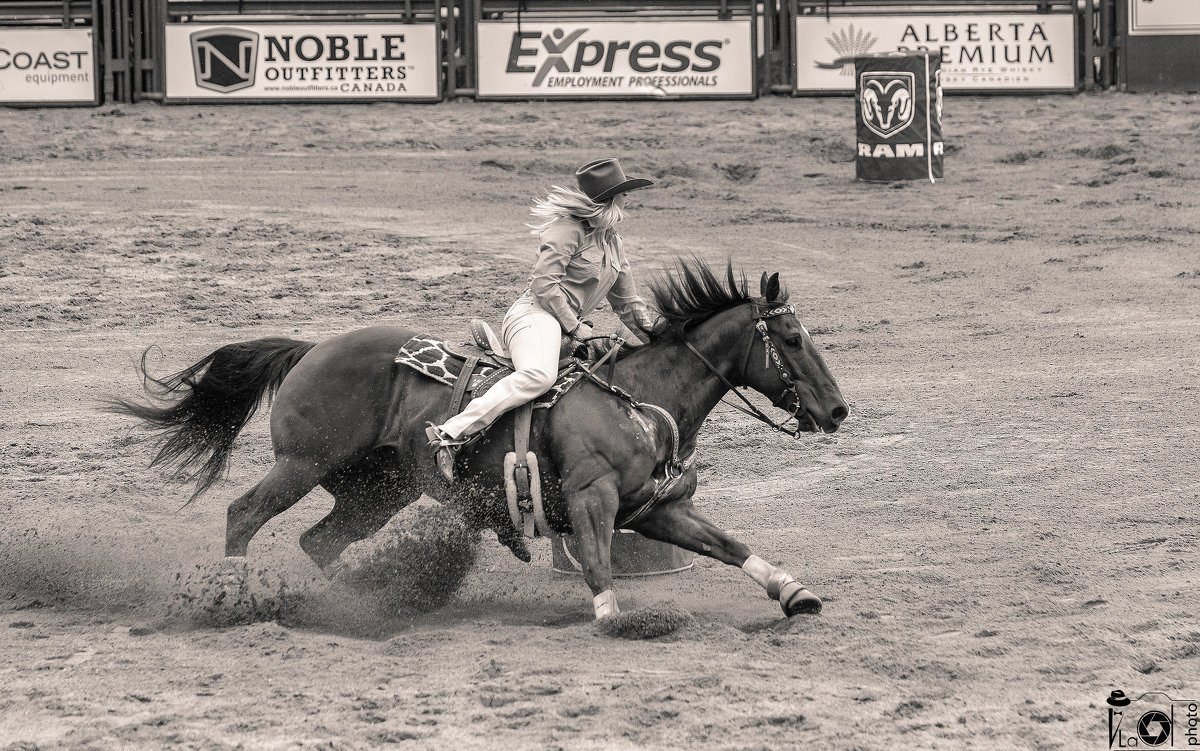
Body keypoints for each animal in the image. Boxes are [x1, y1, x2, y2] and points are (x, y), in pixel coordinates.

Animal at [110, 260, 844, 619]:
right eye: (792, 338)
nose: (837, 409)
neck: (635, 395)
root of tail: (310, 348)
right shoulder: (593, 500)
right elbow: (599, 563)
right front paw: (614, 616)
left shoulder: (657, 508)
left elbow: (731, 545)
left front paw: (793, 592)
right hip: (301, 463)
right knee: (243, 515)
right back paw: (235, 596)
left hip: (378, 491)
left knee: (320, 542)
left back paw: (363, 598)